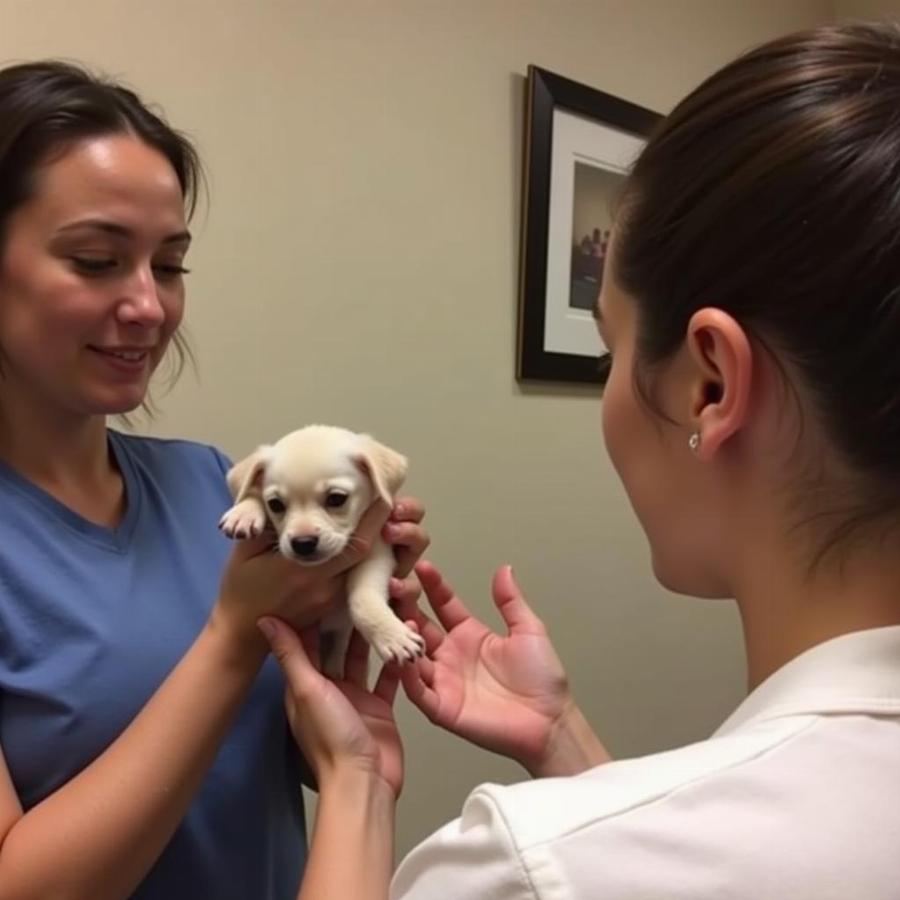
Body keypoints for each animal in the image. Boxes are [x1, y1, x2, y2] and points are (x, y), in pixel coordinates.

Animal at [221, 426, 426, 680]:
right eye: (275, 504)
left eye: (336, 499)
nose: (303, 543)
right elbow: (252, 492)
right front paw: (244, 511)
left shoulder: (377, 554)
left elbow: (362, 599)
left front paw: (391, 635)